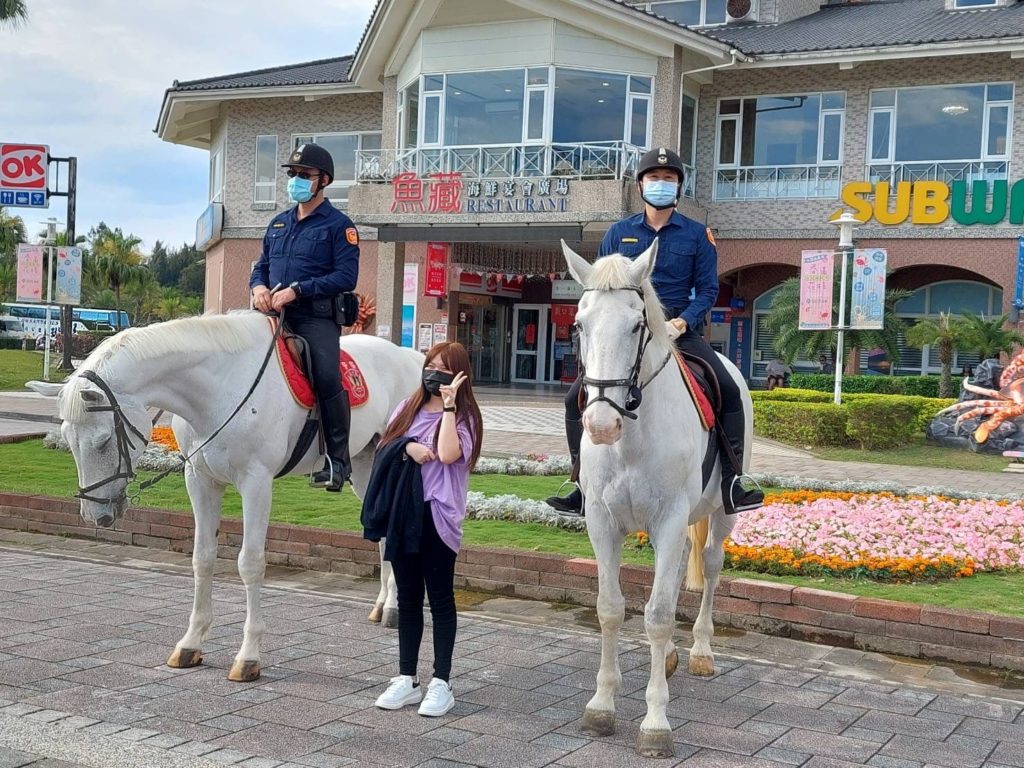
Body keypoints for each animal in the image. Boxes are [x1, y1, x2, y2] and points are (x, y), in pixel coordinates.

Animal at [28, 309, 421, 684]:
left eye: (104, 441)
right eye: (69, 441)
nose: (96, 516)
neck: (219, 390)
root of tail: (410, 358)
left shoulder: (256, 482)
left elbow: (250, 563)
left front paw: (248, 657)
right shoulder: (200, 480)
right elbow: (202, 558)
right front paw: (190, 644)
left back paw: (394, 608)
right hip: (364, 465)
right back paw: (384, 605)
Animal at [561, 243, 745, 761]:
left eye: (636, 324)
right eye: (579, 324)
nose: (601, 424)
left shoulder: (668, 522)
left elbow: (658, 615)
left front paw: (656, 723)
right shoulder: (602, 522)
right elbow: (610, 608)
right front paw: (602, 705)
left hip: (719, 515)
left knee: (710, 566)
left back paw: (700, 652)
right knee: (681, 570)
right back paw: (669, 660)